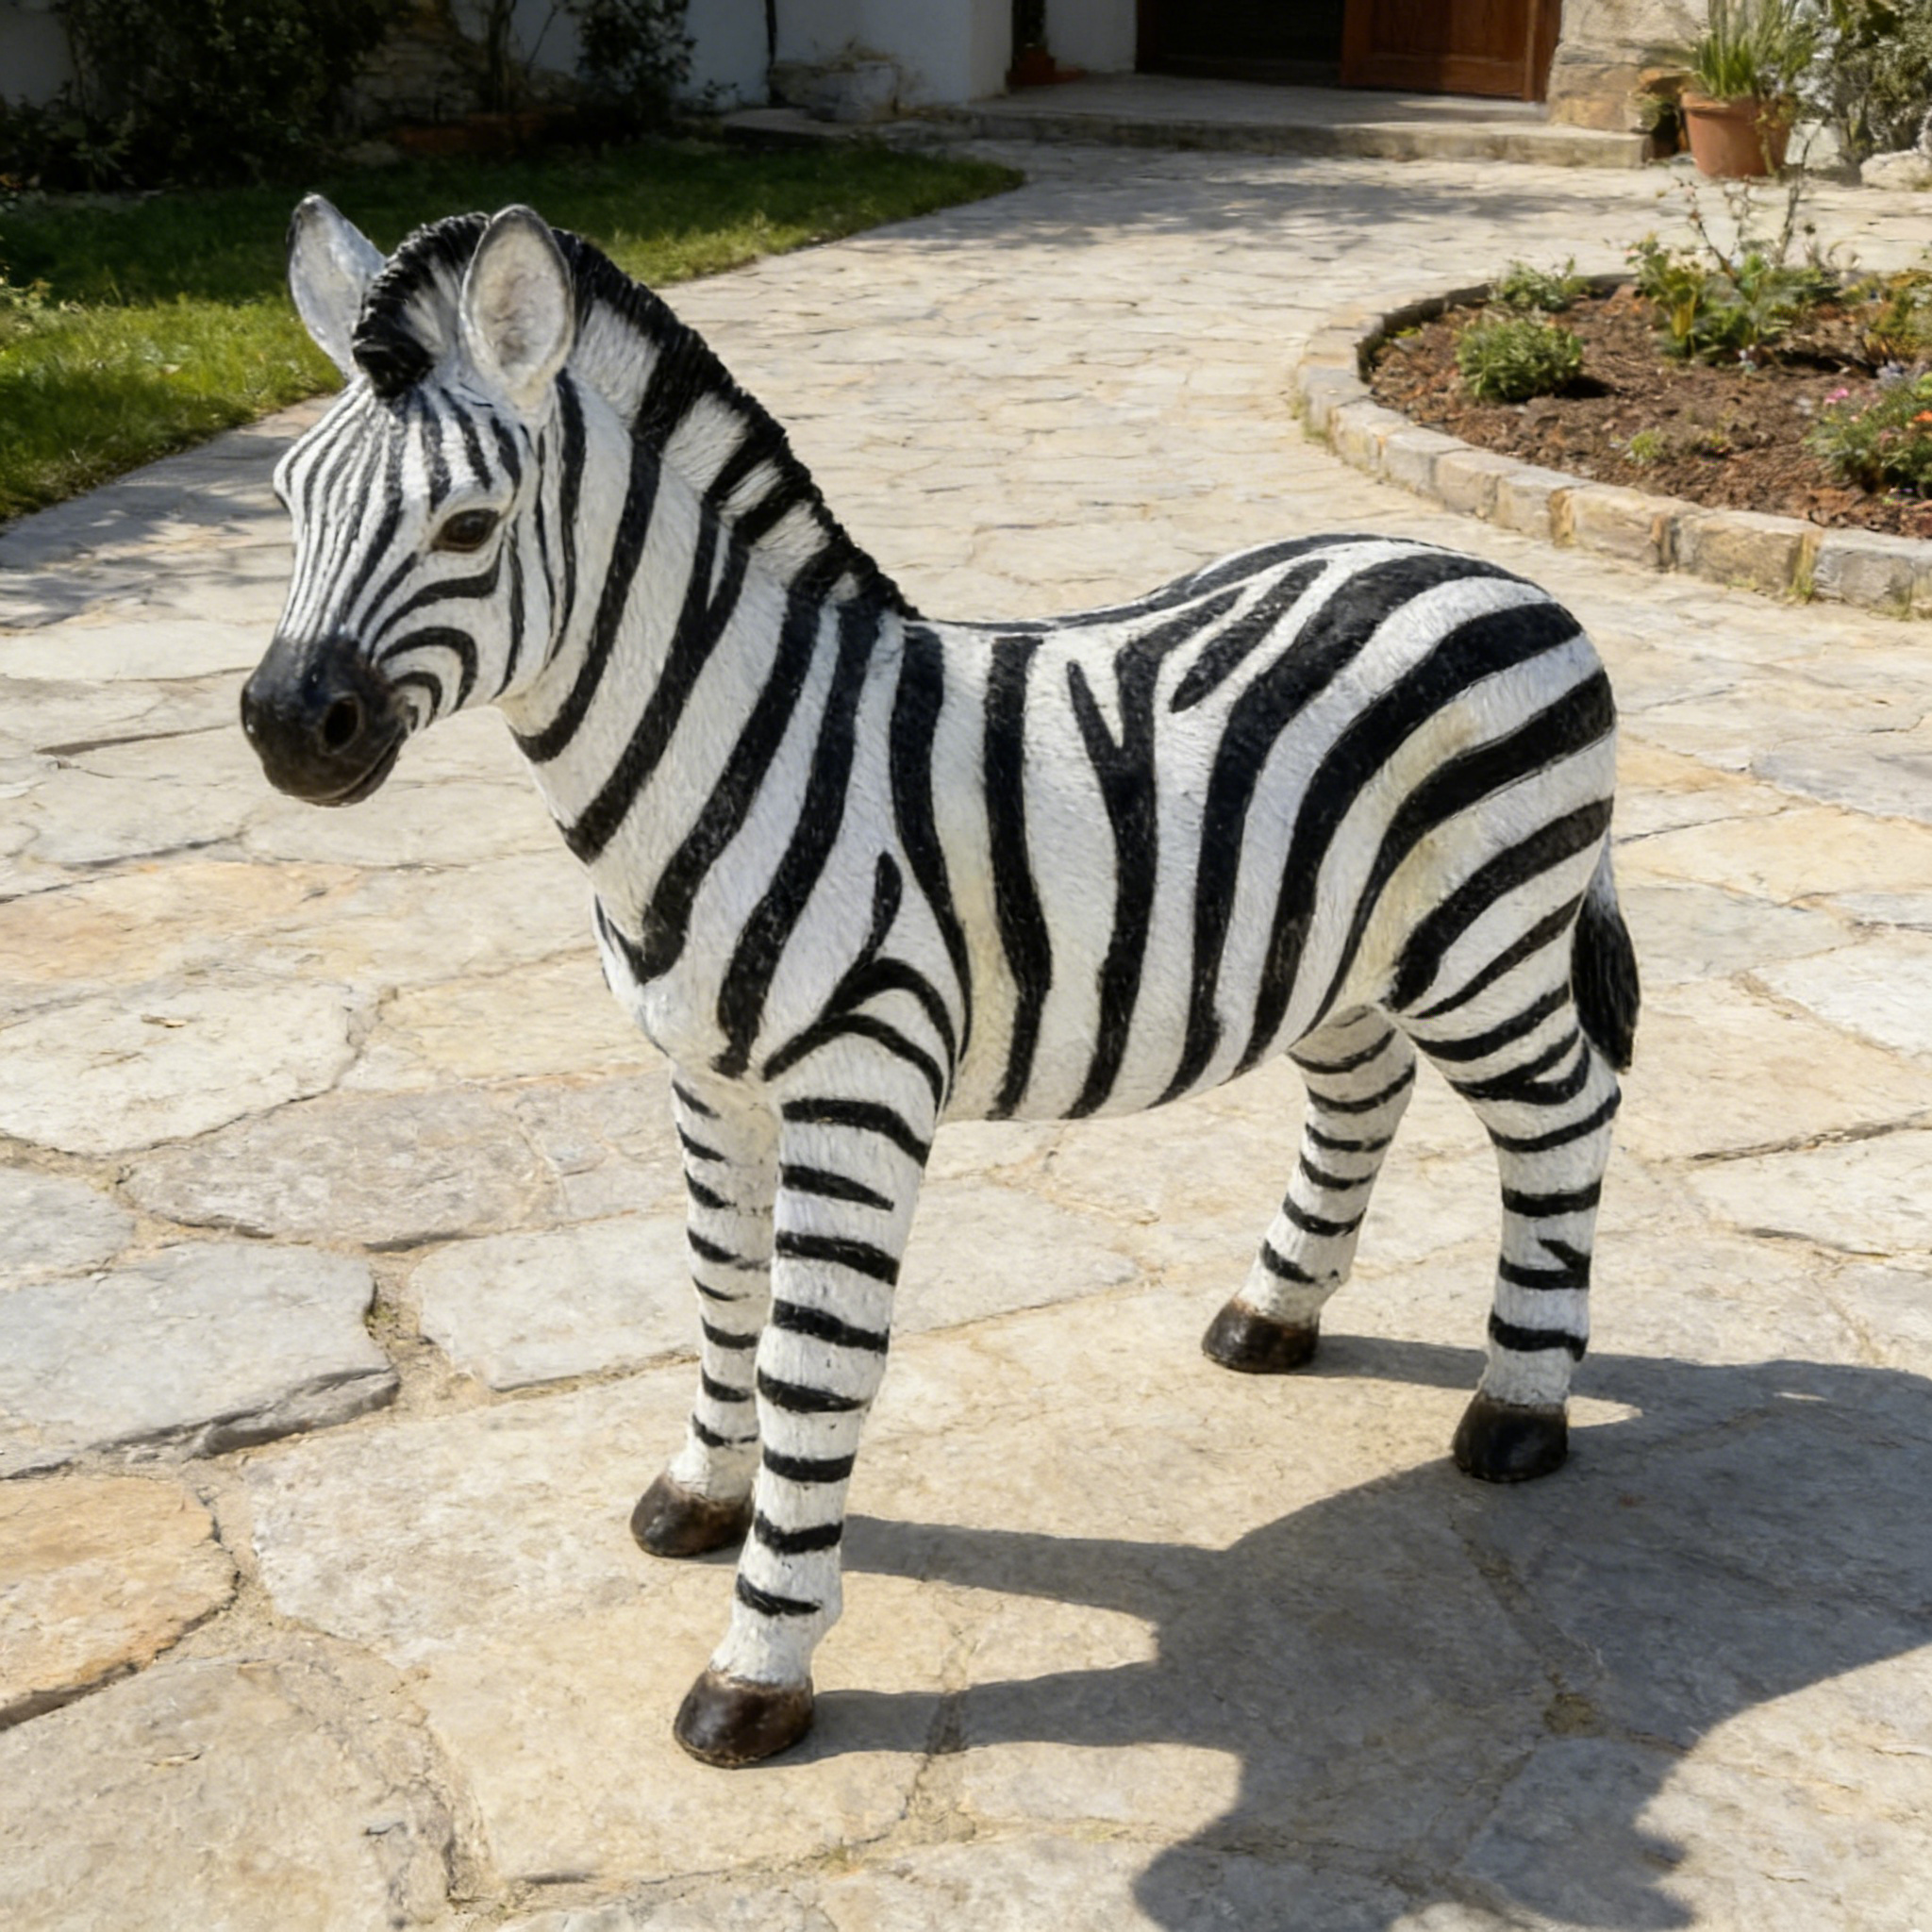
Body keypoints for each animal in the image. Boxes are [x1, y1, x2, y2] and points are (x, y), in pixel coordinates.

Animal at [242, 198, 1640, 1770]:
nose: (284, 728)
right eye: (288, 501)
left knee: (1567, 1118)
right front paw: (702, 1494)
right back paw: (1274, 1317)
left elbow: (811, 1361)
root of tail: (1502, 578)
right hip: (1334, 950)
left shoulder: (861, 1083)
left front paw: (759, 1667)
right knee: (1364, 1091)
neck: (736, 748)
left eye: (469, 527)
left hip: (1484, 939)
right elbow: (721, 1297)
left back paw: (1520, 1410)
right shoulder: (707, 1079)